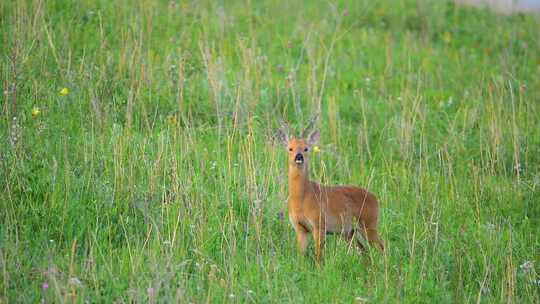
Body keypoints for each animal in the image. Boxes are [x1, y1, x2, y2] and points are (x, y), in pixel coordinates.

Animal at [276, 114, 386, 258]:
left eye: (306, 148)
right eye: (290, 148)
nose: (299, 156)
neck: (301, 198)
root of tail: (375, 198)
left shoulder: (319, 225)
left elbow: (319, 256)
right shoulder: (300, 229)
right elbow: (301, 256)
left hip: (368, 225)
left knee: (382, 246)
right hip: (349, 232)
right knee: (365, 251)